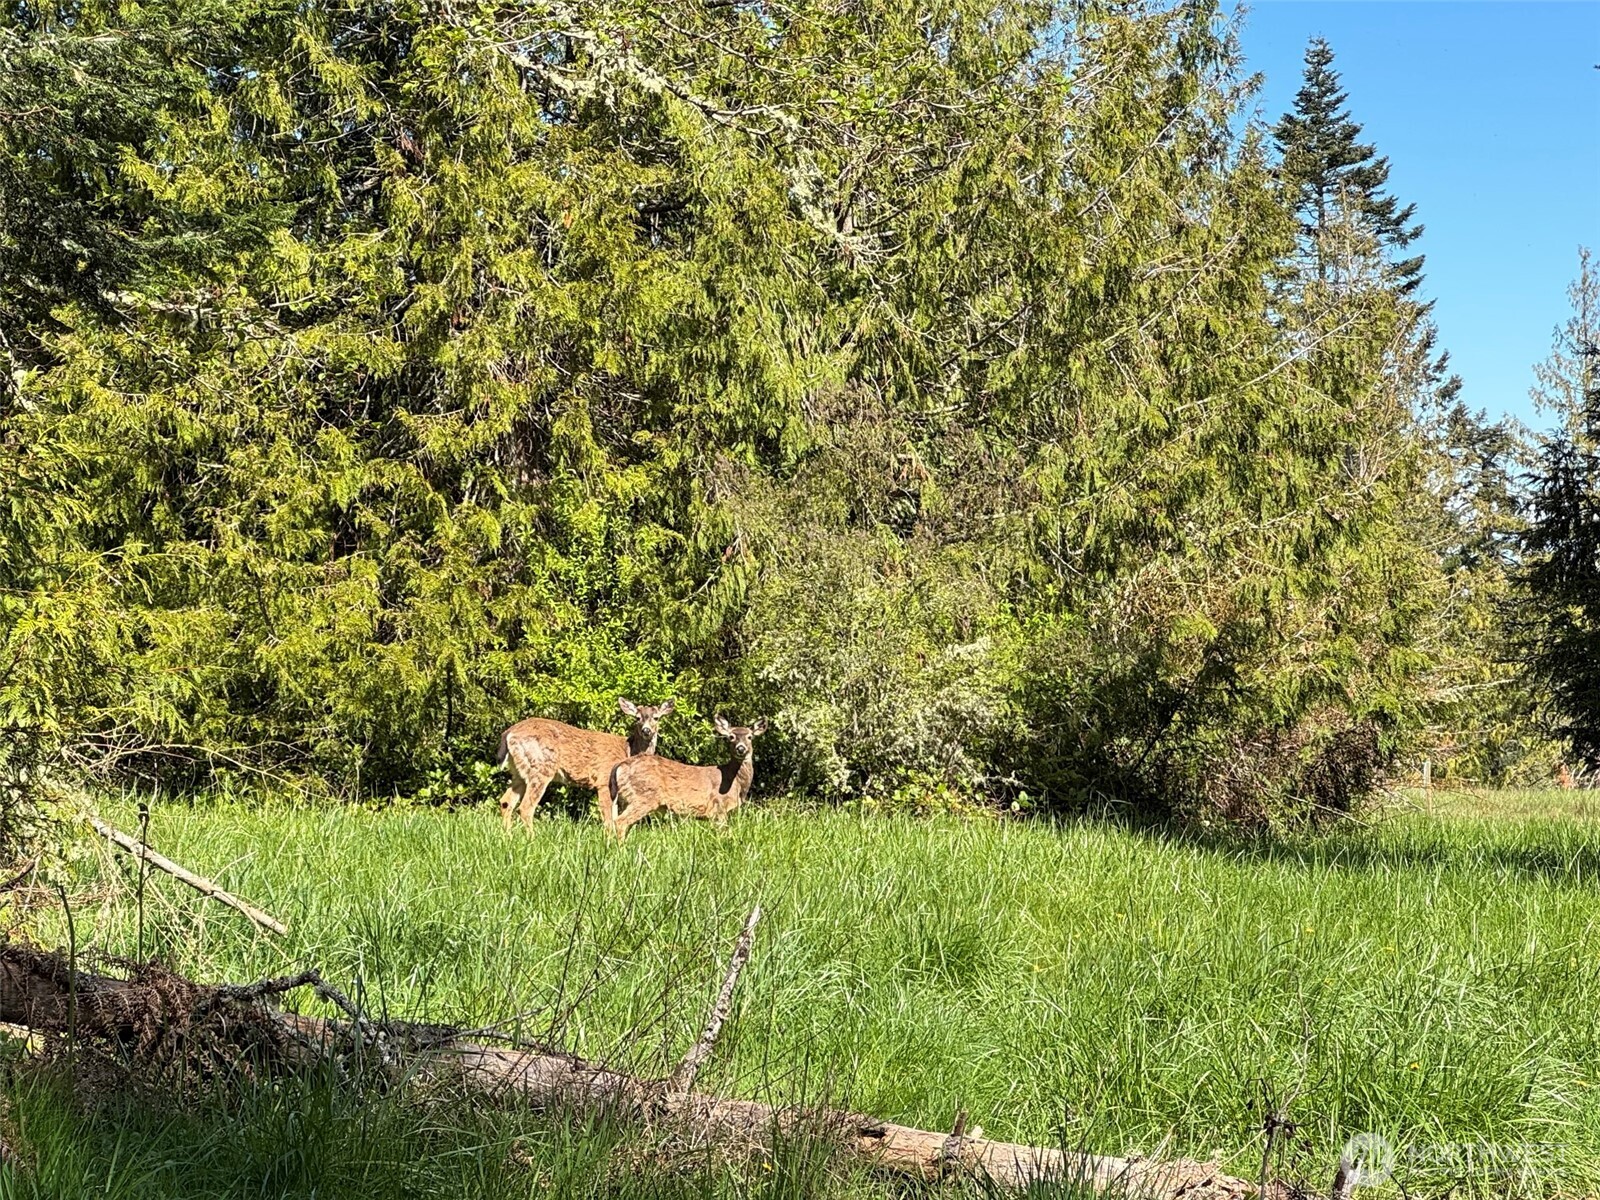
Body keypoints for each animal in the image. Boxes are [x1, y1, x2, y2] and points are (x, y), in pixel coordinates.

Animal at [497, 698, 674, 831]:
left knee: (506, 802)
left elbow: (614, 816)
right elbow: (608, 820)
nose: (646, 730)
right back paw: (531, 839)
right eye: (637, 718)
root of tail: (509, 733)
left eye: (657, 717)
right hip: (541, 767)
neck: (628, 751)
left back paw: (508, 837)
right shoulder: (603, 780)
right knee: (526, 807)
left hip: (519, 771)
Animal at [605, 716, 767, 839]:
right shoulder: (718, 807)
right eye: (731, 737)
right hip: (644, 795)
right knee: (620, 821)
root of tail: (620, 766)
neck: (735, 782)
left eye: (750, 737)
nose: (741, 748)